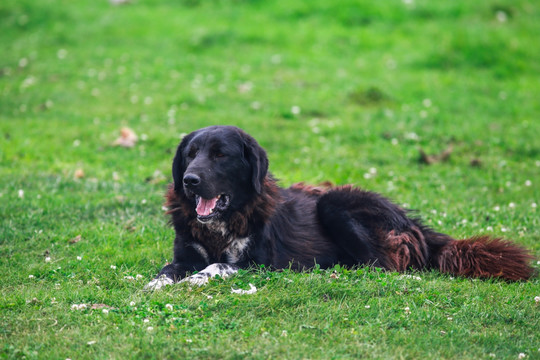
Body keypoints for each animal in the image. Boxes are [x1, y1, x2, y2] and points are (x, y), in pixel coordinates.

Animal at [144, 126, 536, 290]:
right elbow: (169, 268)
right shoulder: (184, 253)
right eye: (190, 154)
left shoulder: (260, 264)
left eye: (220, 155)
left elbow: (217, 265)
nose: (190, 181)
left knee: (382, 266)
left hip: (336, 204)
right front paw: (157, 283)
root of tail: (415, 226)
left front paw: (197, 278)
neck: (226, 221)